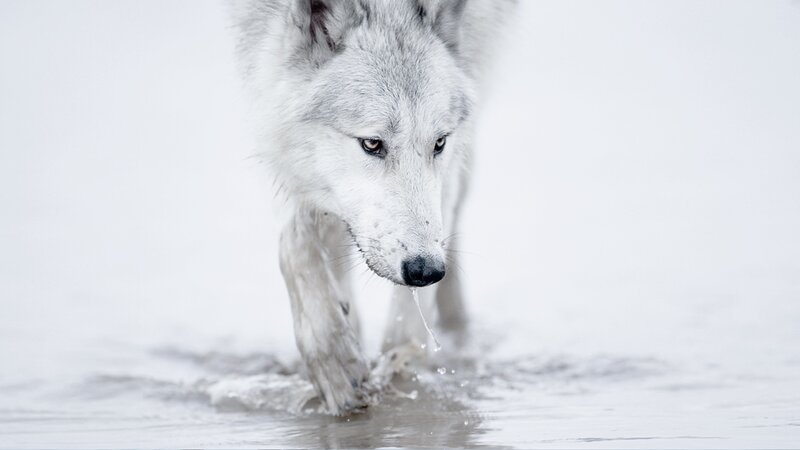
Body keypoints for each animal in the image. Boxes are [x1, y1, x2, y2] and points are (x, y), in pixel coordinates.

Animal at [229, 0, 515, 414]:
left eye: (439, 143)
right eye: (372, 144)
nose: (426, 270)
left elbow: (407, 321)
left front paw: (399, 370)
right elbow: (296, 244)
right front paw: (335, 359)